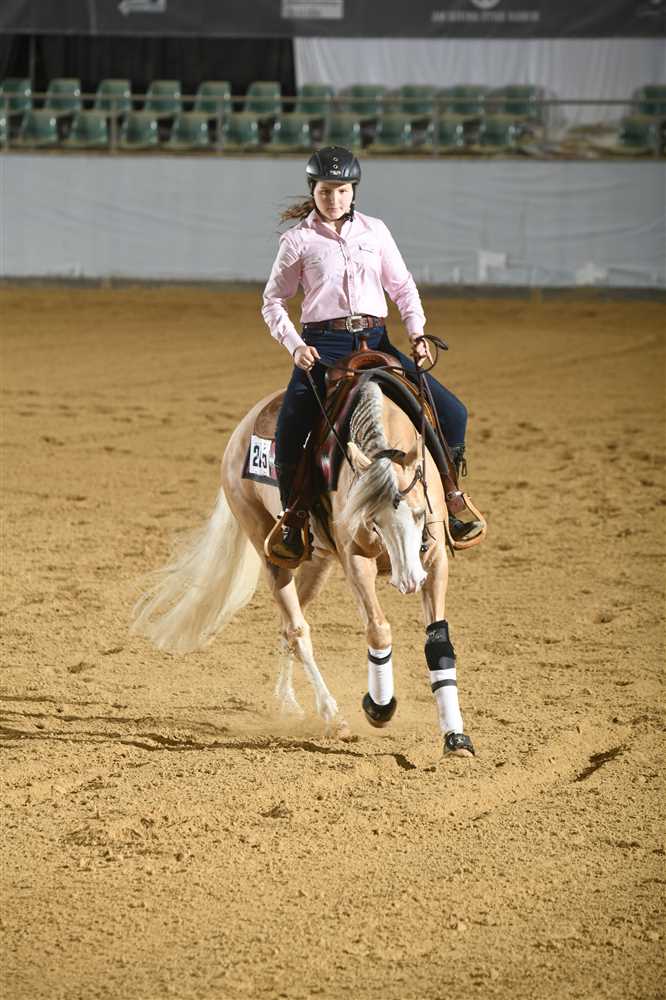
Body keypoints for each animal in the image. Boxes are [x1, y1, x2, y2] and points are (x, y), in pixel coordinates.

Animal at [130, 369, 475, 758]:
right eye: (373, 521)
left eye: (419, 513)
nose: (409, 581)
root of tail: (239, 434)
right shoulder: (356, 562)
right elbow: (378, 629)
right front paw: (379, 707)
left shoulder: (433, 559)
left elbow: (438, 638)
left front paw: (456, 737)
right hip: (269, 551)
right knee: (298, 630)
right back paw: (333, 717)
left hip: (318, 563)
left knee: (288, 628)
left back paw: (289, 702)